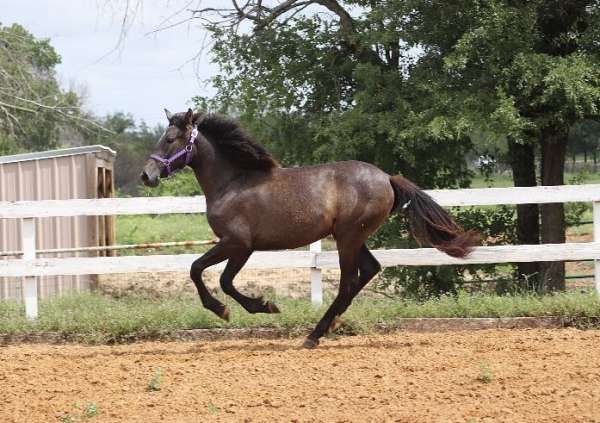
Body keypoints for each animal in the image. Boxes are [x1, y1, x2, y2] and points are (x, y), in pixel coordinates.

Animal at [142, 107, 478, 350]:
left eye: (170, 139)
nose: (147, 175)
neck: (232, 183)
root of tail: (387, 178)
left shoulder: (237, 243)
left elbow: (205, 273)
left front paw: (248, 307)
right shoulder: (241, 247)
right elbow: (214, 276)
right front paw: (255, 306)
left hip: (348, 237)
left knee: (348, 282)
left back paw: (313, 335)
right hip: (351, 237)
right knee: (368, 271)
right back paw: (330, 325)